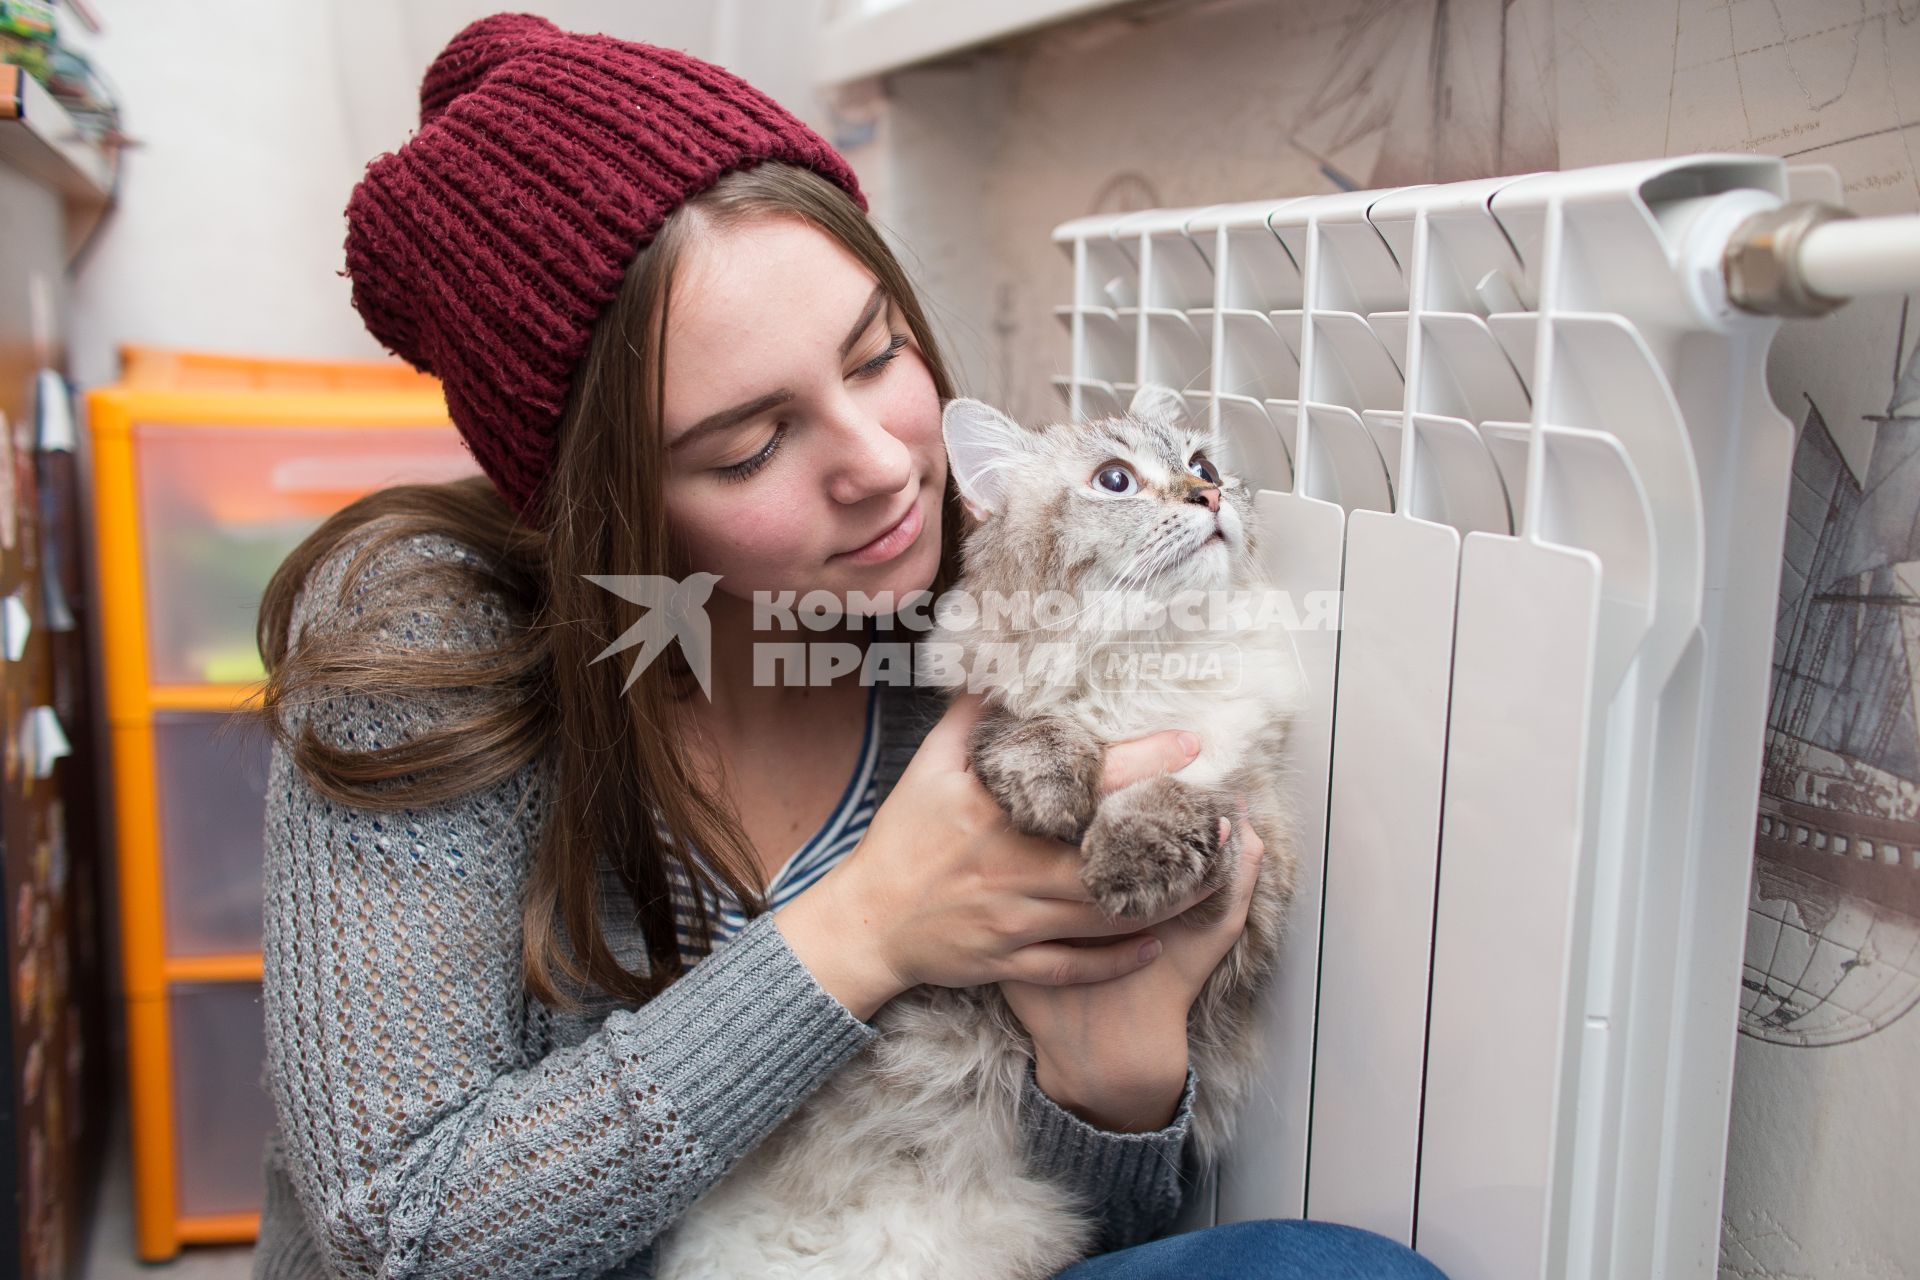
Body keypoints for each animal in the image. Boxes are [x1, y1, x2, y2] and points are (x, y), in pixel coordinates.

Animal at [656, 383, 1305, 1280]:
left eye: (1204, 466)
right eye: (1115, 480)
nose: (1208, 498)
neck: (1144, 662)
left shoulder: (1257, 849)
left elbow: (1188, 796)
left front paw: (1121, 859)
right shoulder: (990, 717)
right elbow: (1027, 730)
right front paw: (1054, 791)